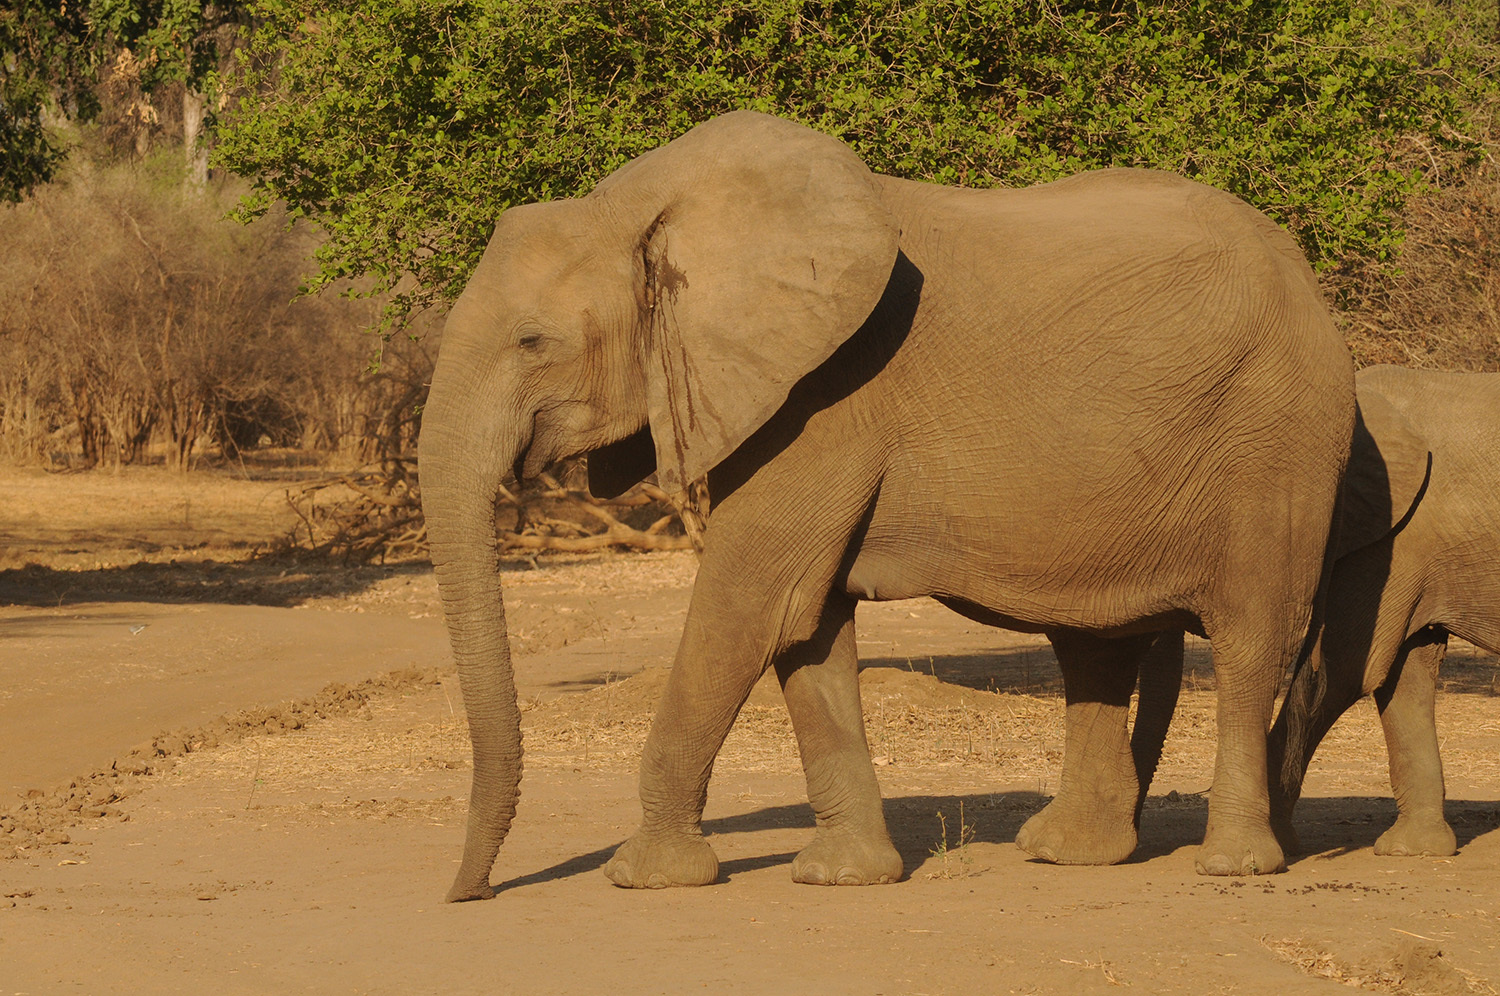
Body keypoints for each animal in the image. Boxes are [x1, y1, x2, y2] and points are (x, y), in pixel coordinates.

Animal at [417, 111, 1356, 900]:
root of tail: (1307, 275)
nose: (471, 893)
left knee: (1249, 638)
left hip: (1278, 439)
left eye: (533, 341)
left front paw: (644, 877)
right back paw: (1067, 853)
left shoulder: (828, 397)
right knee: (1094, 645)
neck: (644, 205)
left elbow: (751, 605)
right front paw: (842, 877)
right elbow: (806, 624)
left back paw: (1232, 864)